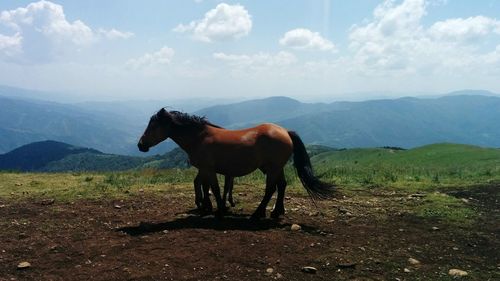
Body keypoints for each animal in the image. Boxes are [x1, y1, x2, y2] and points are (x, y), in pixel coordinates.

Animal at [139, 108, 334, 218]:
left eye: (153, 126)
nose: (140, 145)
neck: (199, 138)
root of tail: (285, 131)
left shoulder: (208, 169)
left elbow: (215, 189)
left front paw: (219, 209)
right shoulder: (205, 169)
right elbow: (206, 186)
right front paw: (209, 207)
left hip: (272, 168)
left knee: (271, 189)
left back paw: (258, 213)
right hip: (276, 168)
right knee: (281, 185)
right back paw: (276, 211)